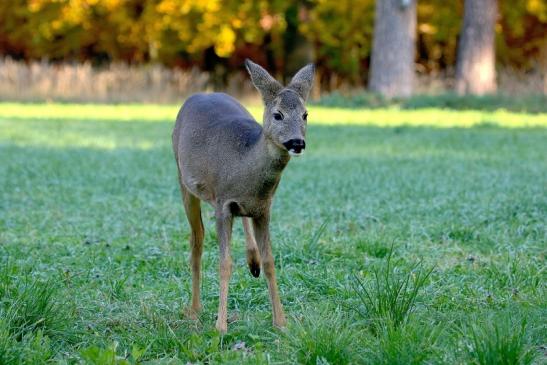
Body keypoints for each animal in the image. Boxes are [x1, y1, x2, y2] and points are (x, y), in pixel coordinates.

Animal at [171, 59, 316, 332]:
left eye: (305, 114)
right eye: (277, 114)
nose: (297, 143)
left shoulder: (264, 208)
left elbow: (270, 261)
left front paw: (281, 322)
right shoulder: (222, 204)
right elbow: (225, 263)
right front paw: (220, 326)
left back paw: (252, 261)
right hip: (183, 180)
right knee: (197, 240)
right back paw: (195, 309)